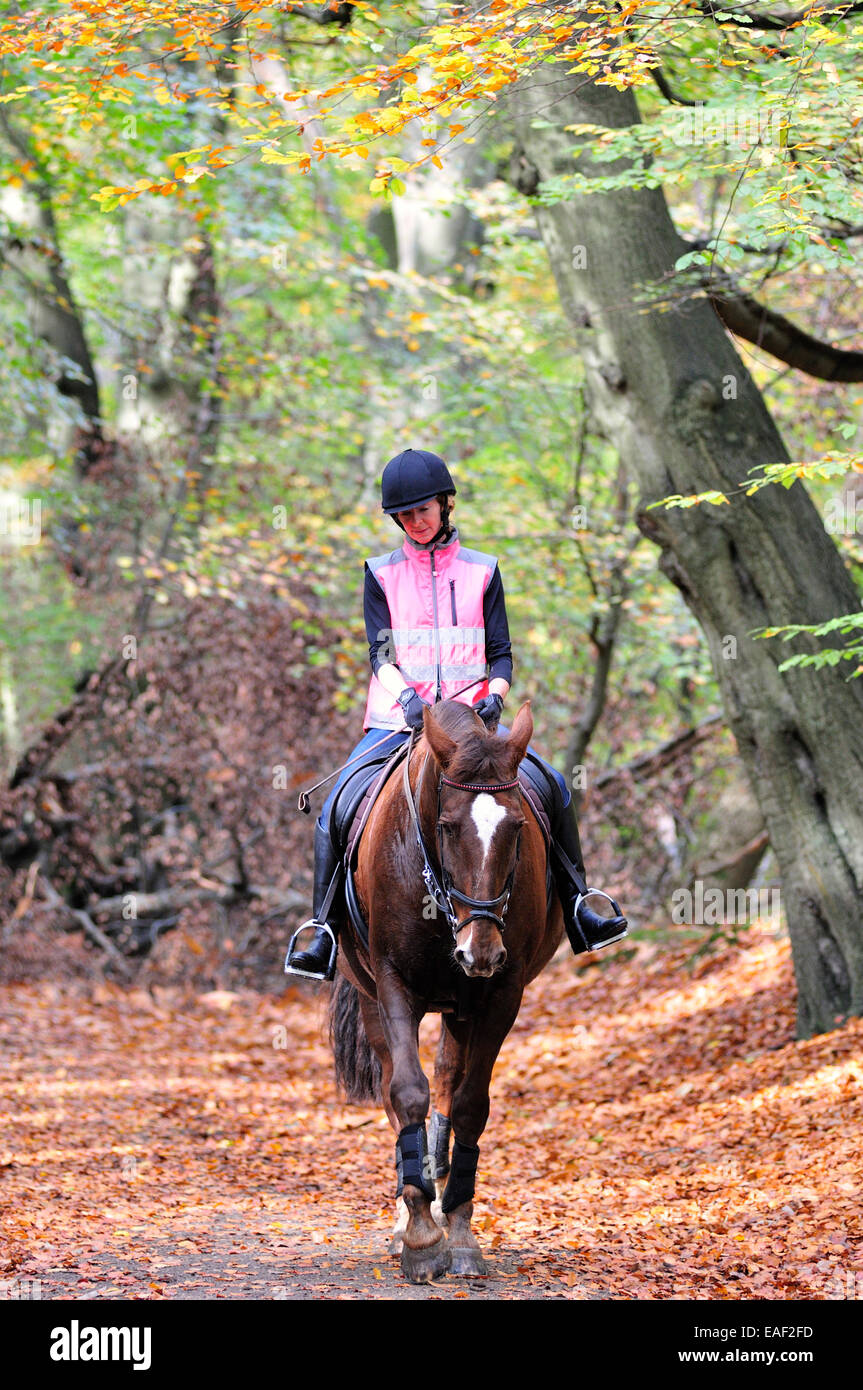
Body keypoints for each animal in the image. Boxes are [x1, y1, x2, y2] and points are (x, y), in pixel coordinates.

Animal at [326, 695, 561, 1278]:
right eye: (449, 827)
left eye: (517, 827)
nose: (480, 952)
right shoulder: (392, 985)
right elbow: (407, 1093)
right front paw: (420, 1238)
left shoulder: (501, 994)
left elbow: (471, 1105)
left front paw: (458, 1233)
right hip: (373, 999)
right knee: (397, 1088)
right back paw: (406, 1216)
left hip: (460, 1007)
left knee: (449, 1087)